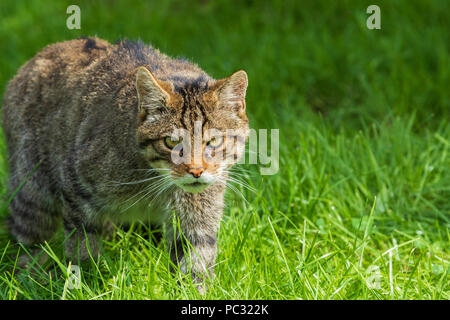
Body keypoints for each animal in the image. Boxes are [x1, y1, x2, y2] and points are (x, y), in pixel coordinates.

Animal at [1, 37, 250, 290]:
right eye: (171, 142)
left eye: (214, 141)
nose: (196, 171)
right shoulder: (76, 184)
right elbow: (83, 245)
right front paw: (86, 280)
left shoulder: (198, 214)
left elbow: (195, 258)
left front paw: (193, 289)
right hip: (33, 191)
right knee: (28, 241)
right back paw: (27, 274)